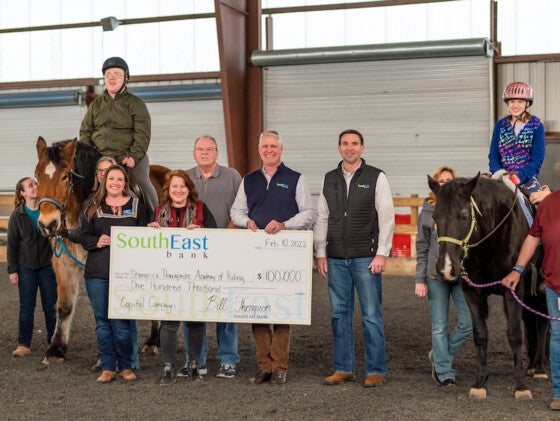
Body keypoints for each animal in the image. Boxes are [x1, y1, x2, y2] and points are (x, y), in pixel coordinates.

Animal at [35, 137, 168, 360]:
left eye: (65, 176)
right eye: (37, 177)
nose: (47, 224)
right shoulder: (64, 262)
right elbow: (64, 306)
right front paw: (56, 349)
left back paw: (156, 340)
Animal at [428, 174, 548, 400]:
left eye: (464, 215)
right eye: (435, 216)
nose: (446, 268)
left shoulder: (513, 288)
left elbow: (514, 334)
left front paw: (520, 386)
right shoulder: (472, 292)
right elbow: (480, 335)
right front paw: (480, 382)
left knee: (543, 322)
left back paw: (539, 368)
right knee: (531, 320)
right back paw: (533, 364)